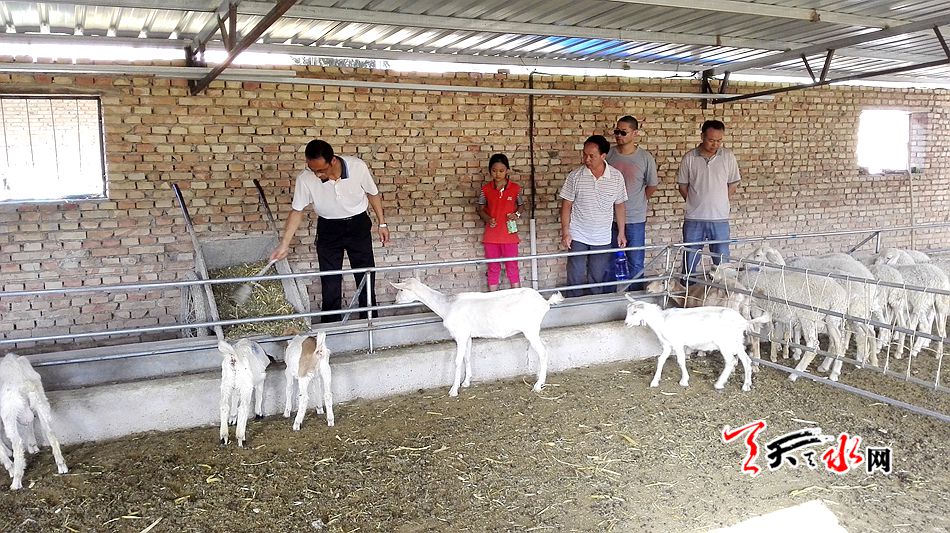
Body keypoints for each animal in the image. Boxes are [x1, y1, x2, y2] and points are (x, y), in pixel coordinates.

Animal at [0, 353, 68, 490]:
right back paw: (61, 465)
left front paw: (10, 467)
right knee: (48, 431)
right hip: (39, 399)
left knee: (18, 443)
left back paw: (16, 480)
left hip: (9, 410)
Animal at [391, 278, 563, 396]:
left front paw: (453, 390)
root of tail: (544, 302)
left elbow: (457, 361)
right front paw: (466, 382)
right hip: (534, 330)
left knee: (542, 352)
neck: (447, 306)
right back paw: (540, 377)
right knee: (545, 347)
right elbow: (467, 357)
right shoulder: (467, 336)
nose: (395, 301)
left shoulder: (460, 334)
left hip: (530, 329)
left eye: (401, 290)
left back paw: (538, 385)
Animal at [623, 298, 768, 391]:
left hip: (725, 343)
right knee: (746, 360)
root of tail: (743, 321)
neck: (661, 321)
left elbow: (681, 361)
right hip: (736, 341)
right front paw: (654, 381)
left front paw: (684, 380)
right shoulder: (667, 345)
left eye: (635, 312)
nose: (625, 323)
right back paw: (746, 385)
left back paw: (719, 384)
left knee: (731, 361)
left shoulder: (677, 343)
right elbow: (660, 360)